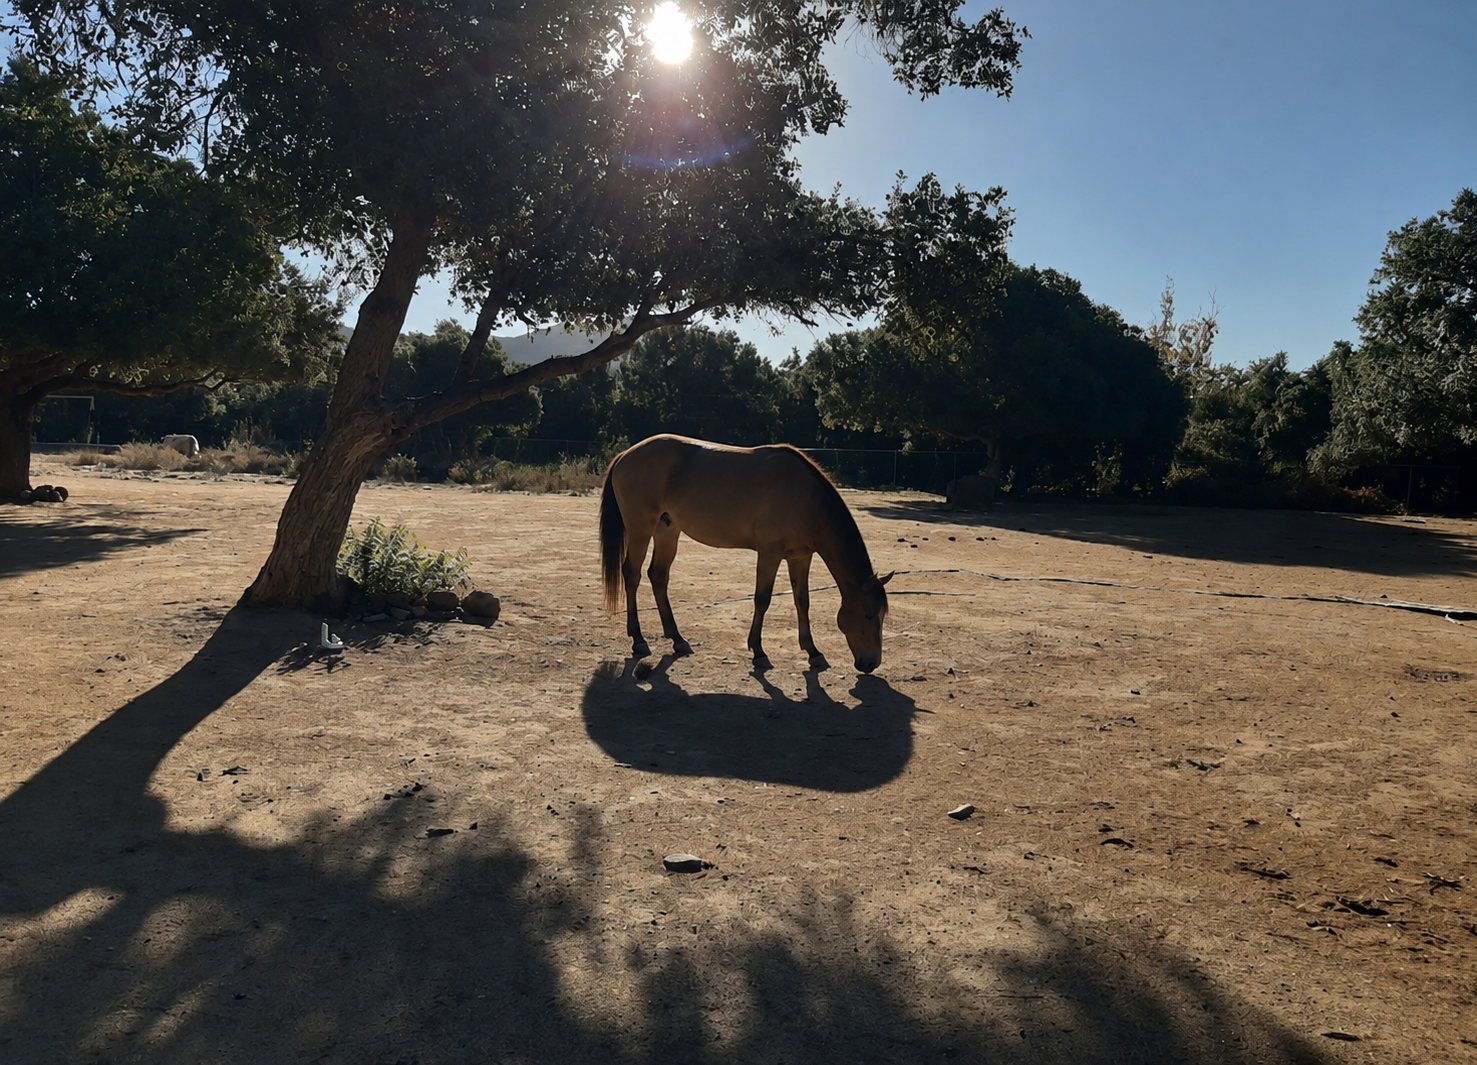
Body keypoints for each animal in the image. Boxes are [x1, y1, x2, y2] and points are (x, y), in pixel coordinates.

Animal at [600, 434, 892, 672]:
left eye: (882, 616)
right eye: (868, 614)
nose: (871, 663)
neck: (806, 498)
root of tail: (625, 455)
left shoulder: (800, 557)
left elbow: (802, 601)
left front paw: (813, 652)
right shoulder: (770, 553)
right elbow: (762, 599)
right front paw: (759, 652)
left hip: (667, 531)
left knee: (658, 576)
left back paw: (678, 639)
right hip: (640, 529)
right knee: (632, 574)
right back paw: (638, 640)